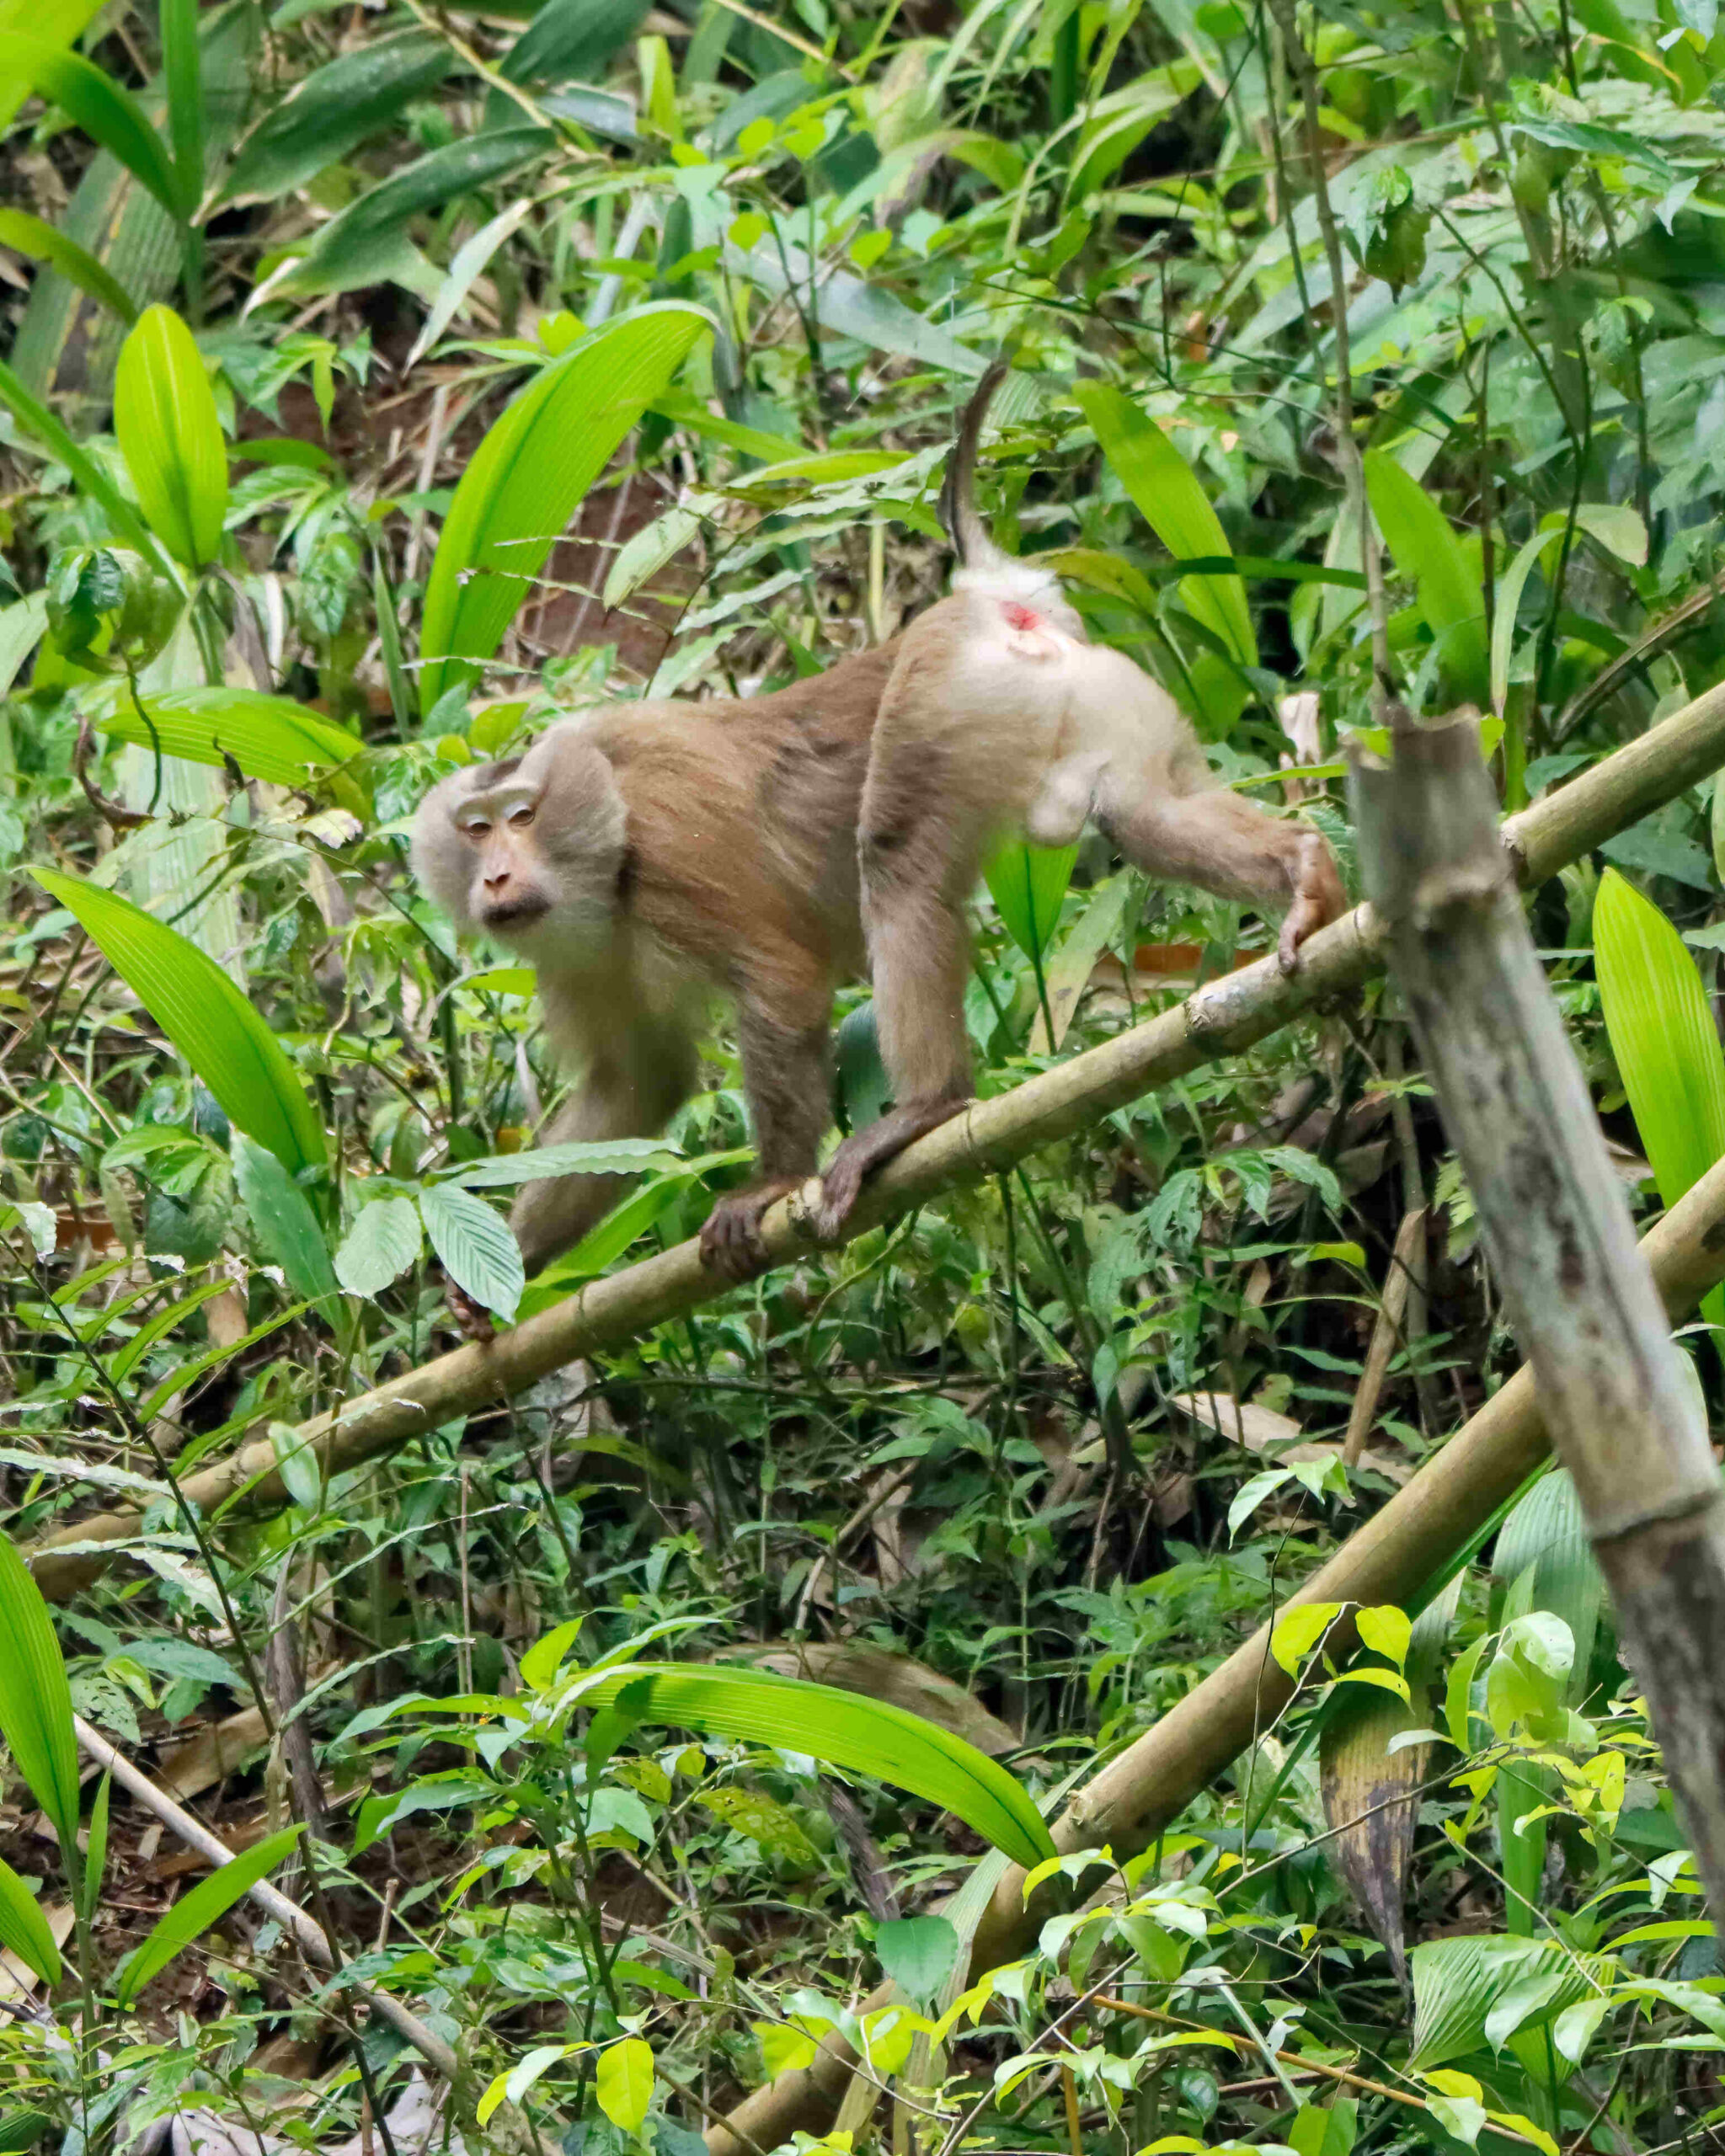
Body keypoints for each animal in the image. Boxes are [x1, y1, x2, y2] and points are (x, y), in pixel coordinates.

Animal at [810, 364, 1345, 1241]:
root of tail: (989, 594)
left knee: (903, 865)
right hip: (1115, 695)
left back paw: (930, 1108)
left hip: (969, 697)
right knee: (1153, 812)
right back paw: (1306, 870)